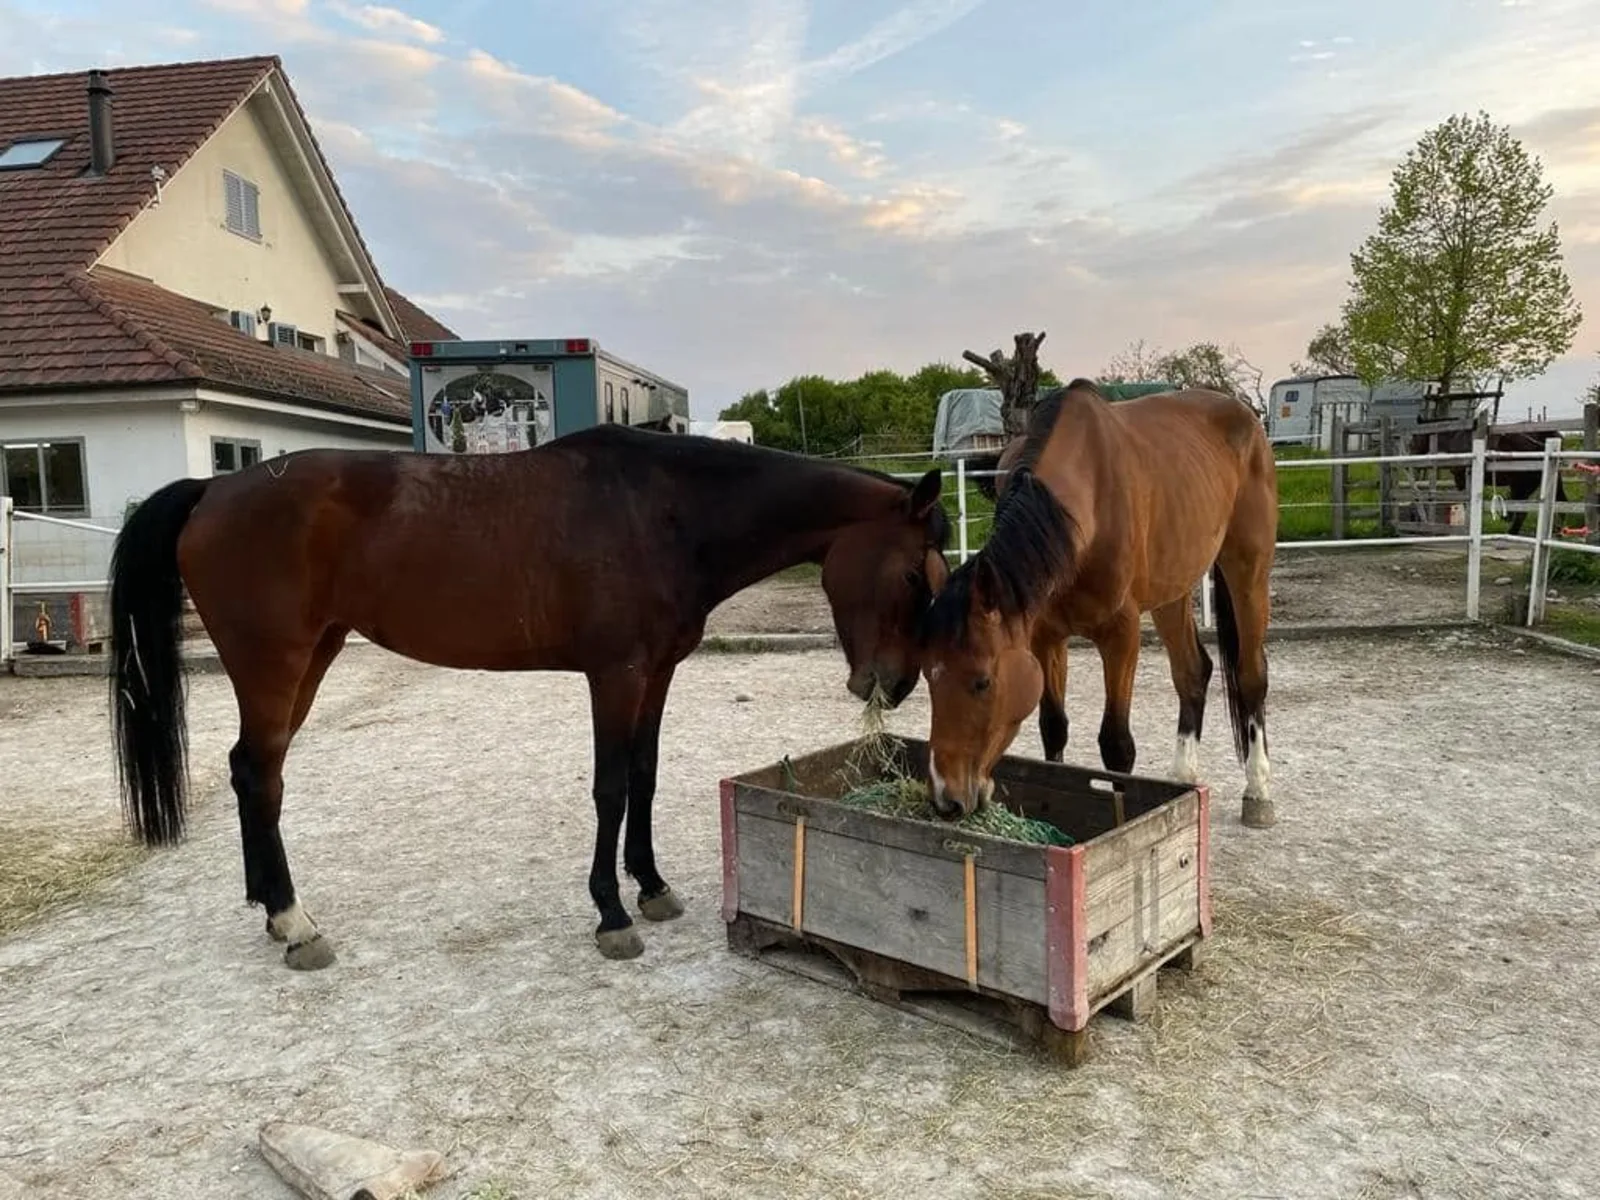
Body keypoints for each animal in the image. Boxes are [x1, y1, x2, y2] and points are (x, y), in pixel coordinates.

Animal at [107, 423, 949, 969]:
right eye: (914, 573)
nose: (895, 684)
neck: (663, 512)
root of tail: (213, 488)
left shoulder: (657, 674)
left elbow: (644, 778)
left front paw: (652, 887)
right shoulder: (615, 675)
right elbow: (610, 789)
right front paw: (611, 914)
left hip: (314, 654)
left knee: (255, 770)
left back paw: (273, 912)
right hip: (275, 662)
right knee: (260, 772)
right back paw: (294, 920)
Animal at [913, 379, 1280, 829]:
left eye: (982, 682)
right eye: (928, 676)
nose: (946, 798)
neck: (1081, 511)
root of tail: (1246, 416)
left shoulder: (1120, 636)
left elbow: (1116, 744)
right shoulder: (1045, 636)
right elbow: (1053, 726)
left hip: (1248, 568)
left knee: (1251, 676)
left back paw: (1258, 791)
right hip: (1172, 589)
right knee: (1192, 672)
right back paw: (1183, 777)